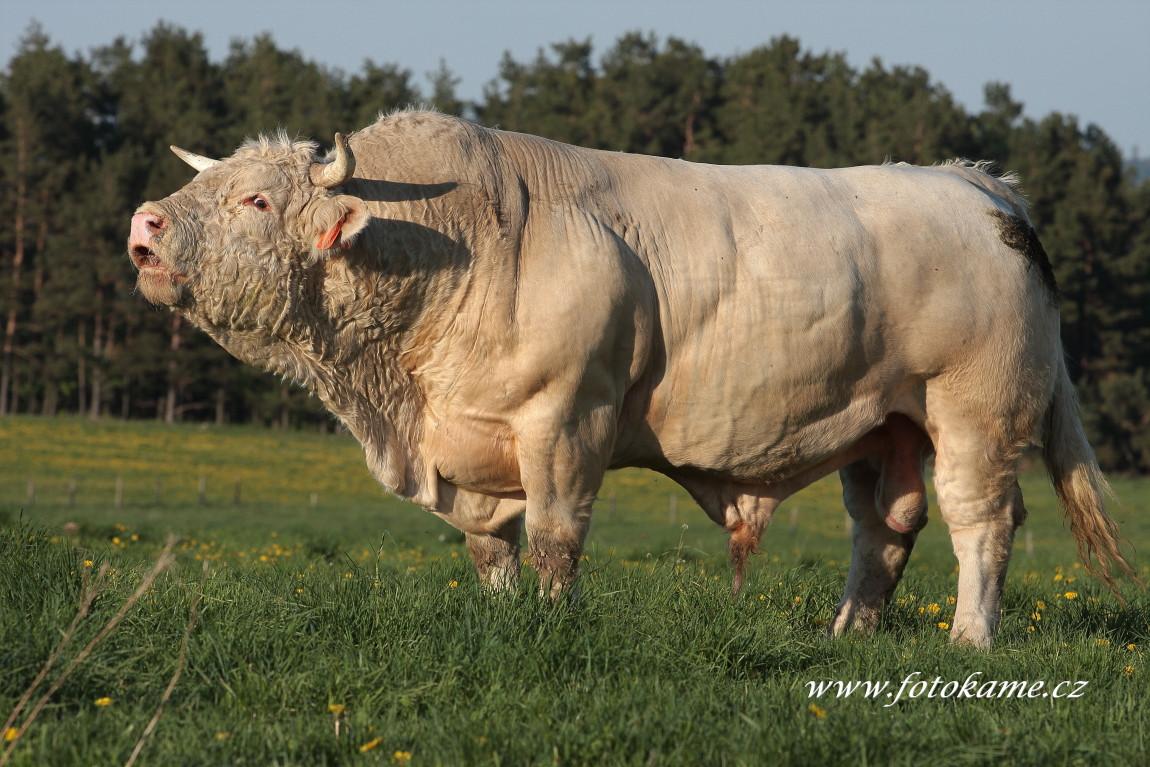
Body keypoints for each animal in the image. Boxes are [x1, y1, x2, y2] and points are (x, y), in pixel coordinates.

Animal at [125, 109, 1131, 648]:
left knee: (981, 522)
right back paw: (847, 633)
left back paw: (970, 635)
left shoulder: (567, 417)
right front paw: (503, 618)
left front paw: (551, 621)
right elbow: (491, 545)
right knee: (885, 527)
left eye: (257, 198)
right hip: (883, 424)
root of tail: (976, 184)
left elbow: (554, 538)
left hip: (975, 412)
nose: (143, 224)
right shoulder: (475, 443)